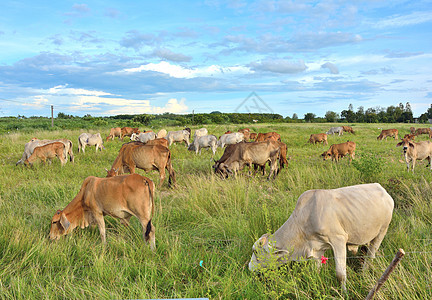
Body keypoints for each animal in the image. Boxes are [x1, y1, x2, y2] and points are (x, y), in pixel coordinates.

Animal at [250, 183, 394, 290]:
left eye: (256, 252)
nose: (249, 268)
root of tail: (382, 189)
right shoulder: (317, 248)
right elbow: (316, 270)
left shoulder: (338, 240)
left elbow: (340, 274)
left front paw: (344, 292)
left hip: (382, 231)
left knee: (370, 256)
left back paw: (364, 274)